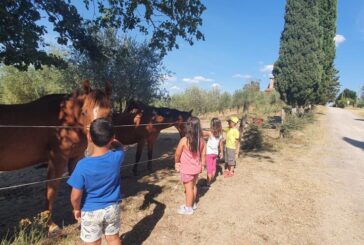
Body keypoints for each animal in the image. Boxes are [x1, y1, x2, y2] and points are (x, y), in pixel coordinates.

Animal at [0, 80, 112, 230]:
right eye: (84, 112)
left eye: (110, 113)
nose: (97, 143)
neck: (66, 120)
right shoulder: (57, 158)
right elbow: (51, 190)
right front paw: (51, 226)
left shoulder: (75, 157)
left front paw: (79, 217)